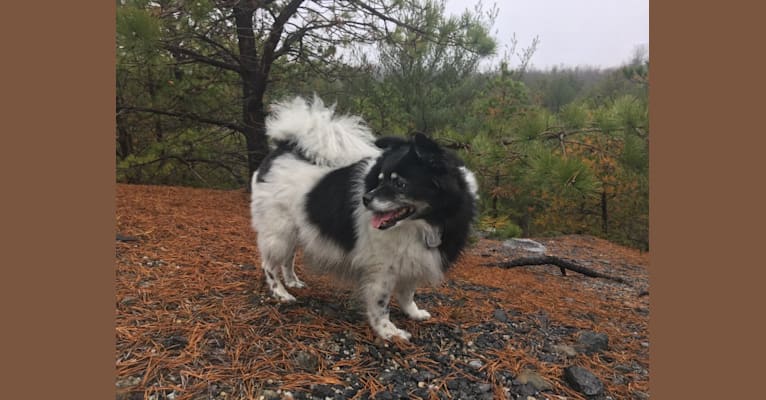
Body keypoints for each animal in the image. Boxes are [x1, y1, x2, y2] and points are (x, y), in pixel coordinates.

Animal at [252, 97, 480, 340]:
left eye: (400, 184)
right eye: (379, 180)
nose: (365, 199)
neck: (424, 223)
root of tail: (283, 149)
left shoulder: (413, 261)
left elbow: (408, 293)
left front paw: (413, 313)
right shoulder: (382, 269)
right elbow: (381, 304)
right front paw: (388, 331)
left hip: (294, 232)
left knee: (288, 259)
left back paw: (292, 282)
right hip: (279, 233)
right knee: (269, 265)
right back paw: (280, 293)